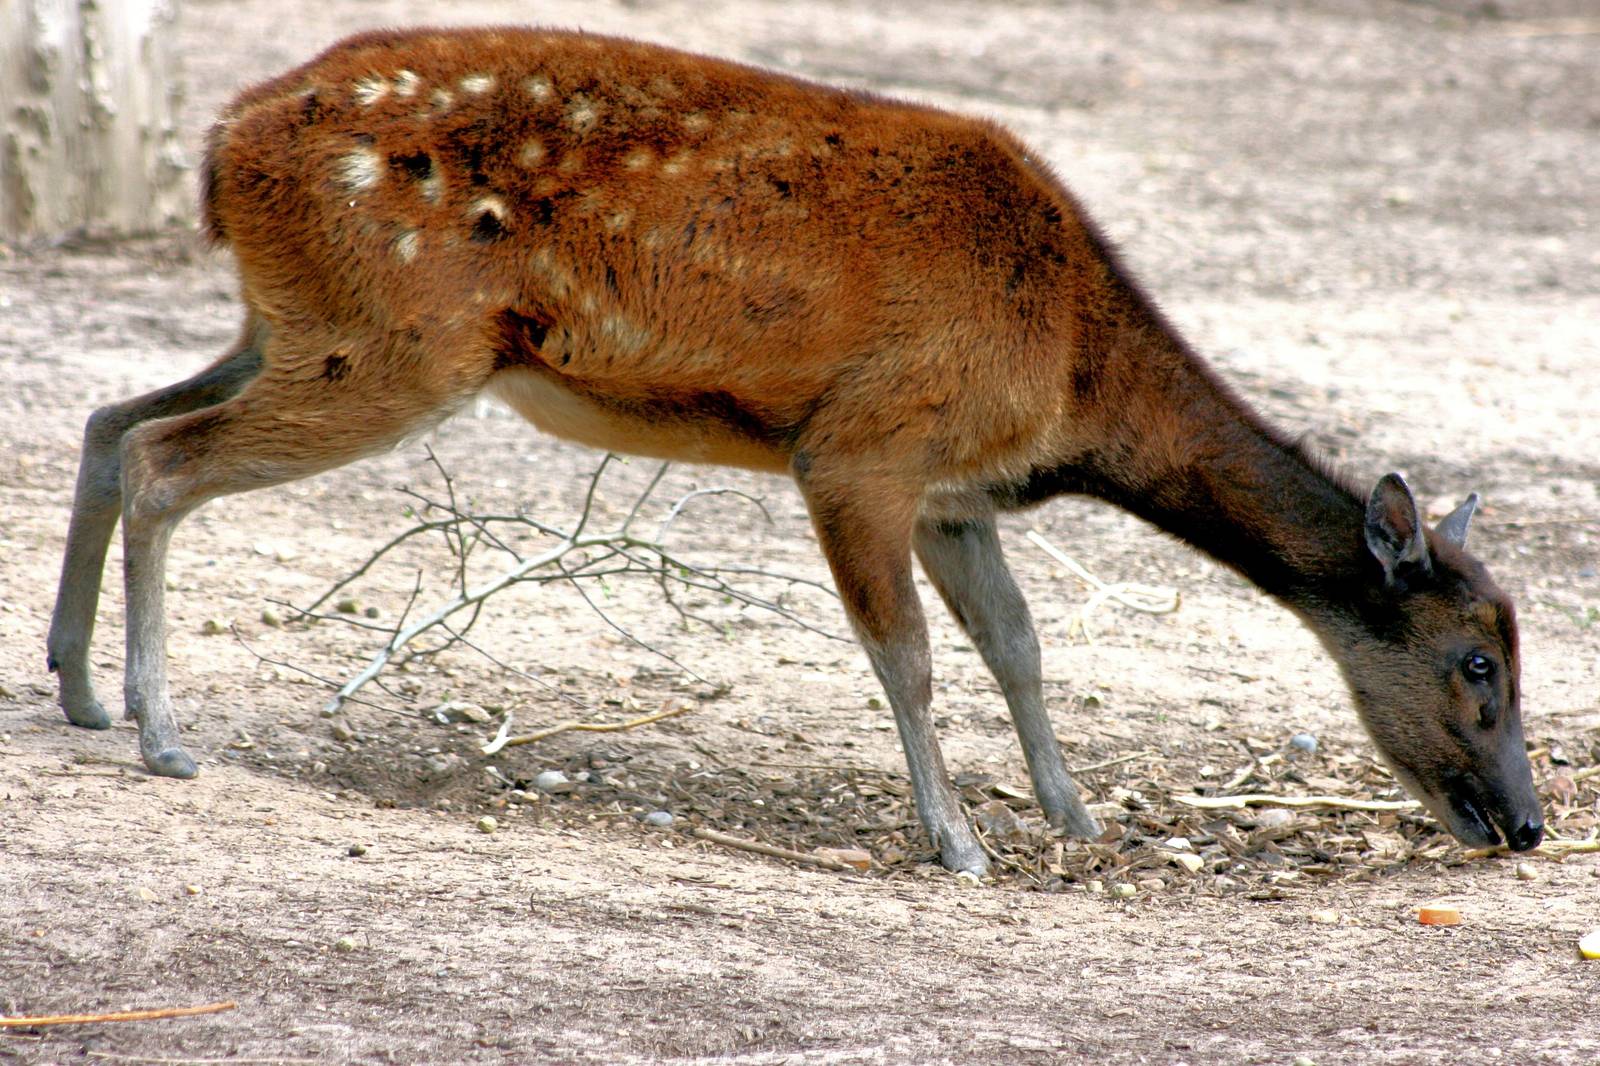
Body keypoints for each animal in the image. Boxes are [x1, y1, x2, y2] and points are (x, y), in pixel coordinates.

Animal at [46, 26, 1543, 876]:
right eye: (1476, 662)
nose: (1528, 823)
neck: (1073, 378)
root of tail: (217, 147)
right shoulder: (863, 445)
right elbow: (912, 658)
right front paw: (959, 842)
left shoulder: (956, 493)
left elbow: (1020, 645)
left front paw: (1073, 817)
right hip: (395, 341)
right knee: (168, 455)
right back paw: (162, 733)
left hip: (298, 320)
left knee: (113, 418)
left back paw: (80, 690)